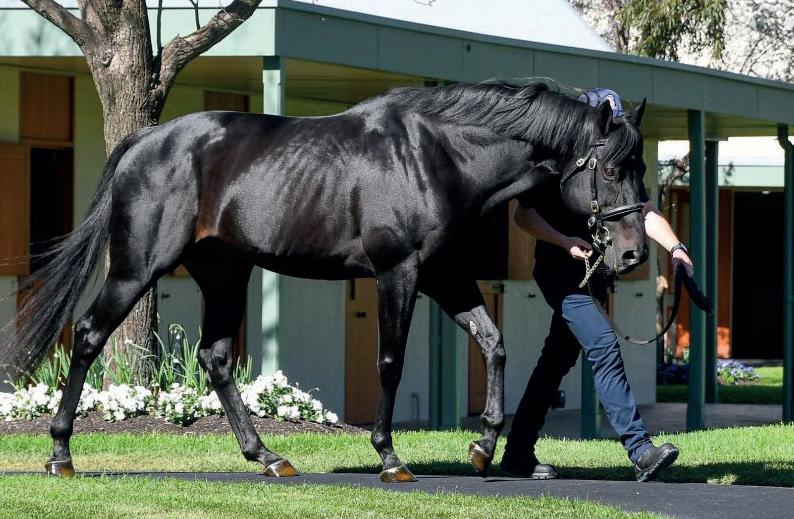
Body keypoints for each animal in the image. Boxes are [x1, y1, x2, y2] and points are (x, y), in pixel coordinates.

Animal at [1, 80, 650, 482]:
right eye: (612, 167)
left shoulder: (444, 274)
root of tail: (144, 141)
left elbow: (493, 343)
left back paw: (267, 456)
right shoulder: (399, 271)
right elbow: (390, 359)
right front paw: (389, 457)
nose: (633, 252)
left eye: (641, 166)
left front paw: (484, 446)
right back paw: (60, 453)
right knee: (88, 335)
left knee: (214, 356)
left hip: (225, 272)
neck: (437, 156)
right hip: (139, 267)